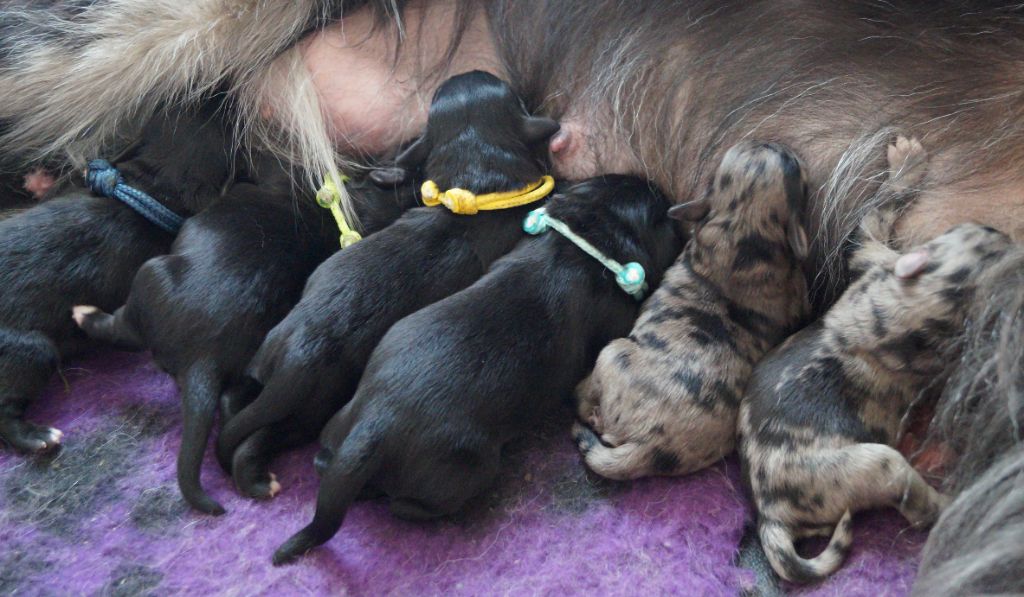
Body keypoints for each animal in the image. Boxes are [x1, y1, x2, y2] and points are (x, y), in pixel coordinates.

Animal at [210, 71, 557, 499]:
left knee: (237, 401)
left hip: (266, 364)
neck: (475, 175)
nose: (469, 72)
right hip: (312, 406)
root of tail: (299, 354)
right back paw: (260, 478)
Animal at [276, 174, 684, 565]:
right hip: (467, 470)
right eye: (661, 214)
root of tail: (375, 424)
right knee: (410, 506)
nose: (658, 188)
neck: (583, 240)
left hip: (343, 417)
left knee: (325, 457)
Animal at [741, 141, 1011, 585]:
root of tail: (769, 513)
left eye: (980, 232)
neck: (918, 301)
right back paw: (948, 501)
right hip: (863, 467)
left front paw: (903, 163)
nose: (1004, 233)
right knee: (911, 498)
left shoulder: (874, 264)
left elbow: (867, 228)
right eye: (991, 237)